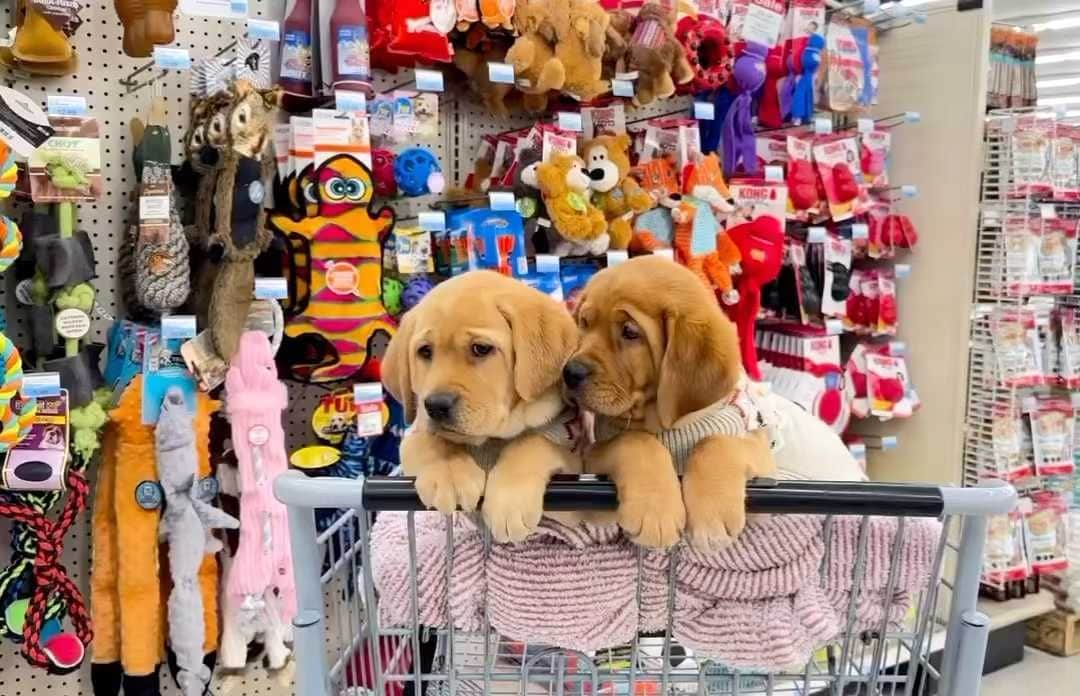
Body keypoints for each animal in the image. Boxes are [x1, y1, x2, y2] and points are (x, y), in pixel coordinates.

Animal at [382, 272, 583, 544]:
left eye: (481, 349)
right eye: (425, 351)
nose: (436, 405)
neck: (491, 439)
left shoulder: (572, 489)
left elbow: (533, 441)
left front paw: (510, 498)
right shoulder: (414, 434)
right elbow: (431, 440)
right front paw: (450, 473)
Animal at [565, 255, 777, 549]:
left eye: (630, 332)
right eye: (584, 324)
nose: (569, 373)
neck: (664, 424)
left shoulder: (764, 463)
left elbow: (714, 441)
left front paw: (712, 513)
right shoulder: (594, 485)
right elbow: (634, 439)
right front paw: (655, 510)